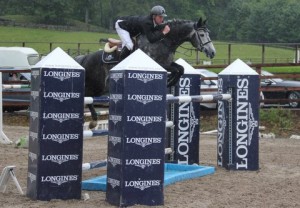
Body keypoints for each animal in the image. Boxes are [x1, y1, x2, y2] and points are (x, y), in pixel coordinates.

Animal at [74, 17, 216, 129]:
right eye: (202, 35)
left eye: (208, 33)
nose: (212, 52)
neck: (163, 41)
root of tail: (84, 58)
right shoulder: (159, 64)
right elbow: (177, 70)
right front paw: (169, 80)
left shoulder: (168, 63)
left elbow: (180, 69)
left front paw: (170, 81)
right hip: (94, 84)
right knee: (87, 97)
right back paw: (92, 121)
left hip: (99, 88)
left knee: (88, 98)